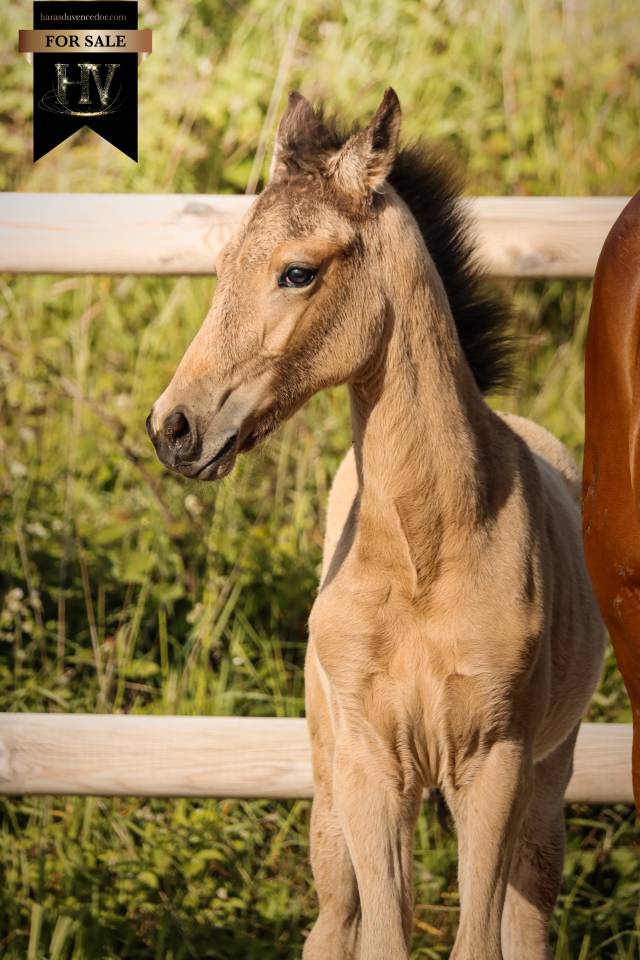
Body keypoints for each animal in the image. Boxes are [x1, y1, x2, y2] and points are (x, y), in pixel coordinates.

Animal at [147, 89, 605, 960]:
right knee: (335, 924)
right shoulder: (370, 764)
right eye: (221, 270)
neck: (425, 550)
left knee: (526, 926)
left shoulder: (494, 765)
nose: (174, 428)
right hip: (330, 792)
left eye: (297, 272)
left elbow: (477, 943)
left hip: (546, 789)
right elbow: (383, 939)